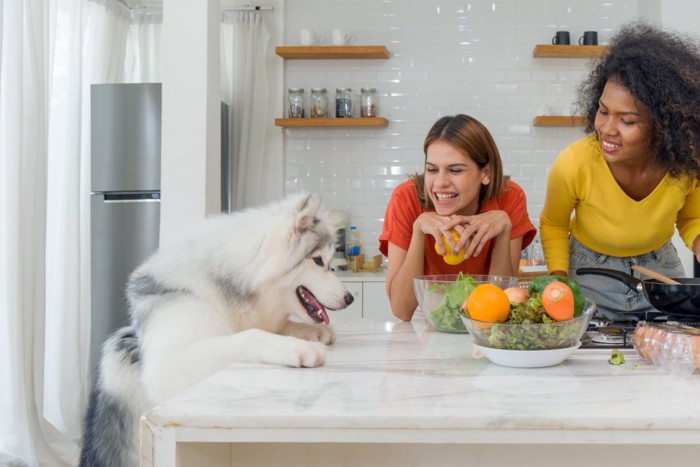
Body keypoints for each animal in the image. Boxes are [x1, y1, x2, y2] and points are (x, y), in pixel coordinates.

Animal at [80, 193, 356, 467]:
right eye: (318, 261)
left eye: (331, 261)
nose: (350, 298)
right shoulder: (169, 362)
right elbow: (250, 336)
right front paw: (300, 348)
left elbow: (275, 326)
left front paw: (315, 331)